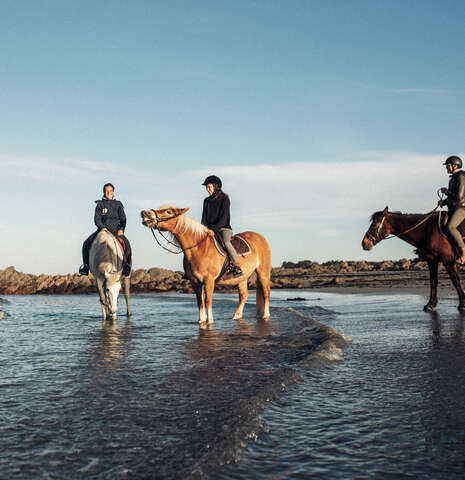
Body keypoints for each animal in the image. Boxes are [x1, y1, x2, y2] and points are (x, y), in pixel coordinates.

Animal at [141, 204, 272, 324]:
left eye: (168, 211)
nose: (144, 213)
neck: (199, 248)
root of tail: (261, 238)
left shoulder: (209, 280)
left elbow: (208, 300)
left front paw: (210, 321)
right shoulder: (195, 282)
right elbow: (200, 301)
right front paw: (201, 320)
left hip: (263, 272)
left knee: (266, 292)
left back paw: (266, 315)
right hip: (242, 278)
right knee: (244, 295)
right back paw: (236, 316)